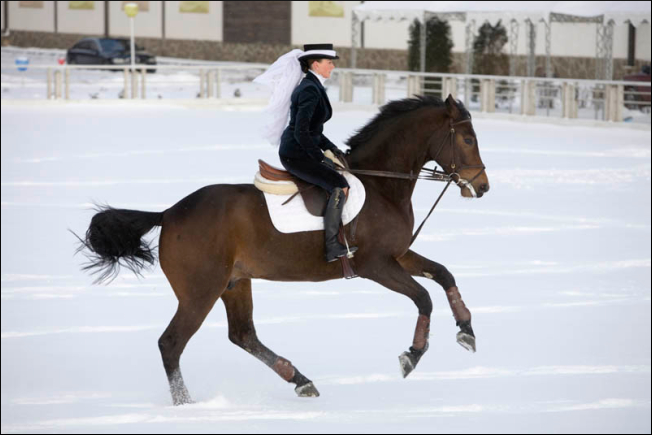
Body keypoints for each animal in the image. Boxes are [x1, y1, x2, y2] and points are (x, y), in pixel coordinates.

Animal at [75, 93, 488, 408]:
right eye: (468, 139)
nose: (482, 187)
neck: (382, 185)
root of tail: (169, 213)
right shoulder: (375, 264)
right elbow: (423, 298)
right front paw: (412, 355)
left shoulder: (398, 256)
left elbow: (444, 275)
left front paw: (467, 330)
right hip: (200, 291)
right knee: (171, 343)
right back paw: (185, 404)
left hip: (234, 283)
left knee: (242, 335)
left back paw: (301, 380)